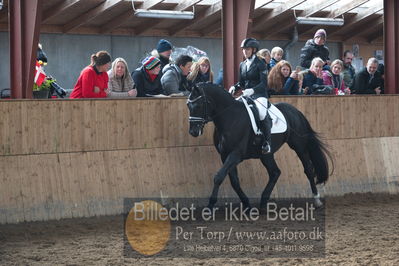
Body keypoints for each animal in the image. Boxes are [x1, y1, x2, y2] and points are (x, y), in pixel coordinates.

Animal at [188, 83, 334, 210]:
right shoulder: (225, 155)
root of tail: (296, 111)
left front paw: (210, 205)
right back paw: (263, 202)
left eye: (198, 105)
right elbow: (234, 181)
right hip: (266, 155)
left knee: (308, 169)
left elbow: (218, 177)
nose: (193, 132)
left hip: (299, 146)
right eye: (188, 105)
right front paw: (247, 204)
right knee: (275, 172)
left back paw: (317, 200)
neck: (230, 117)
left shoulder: (236, 154)